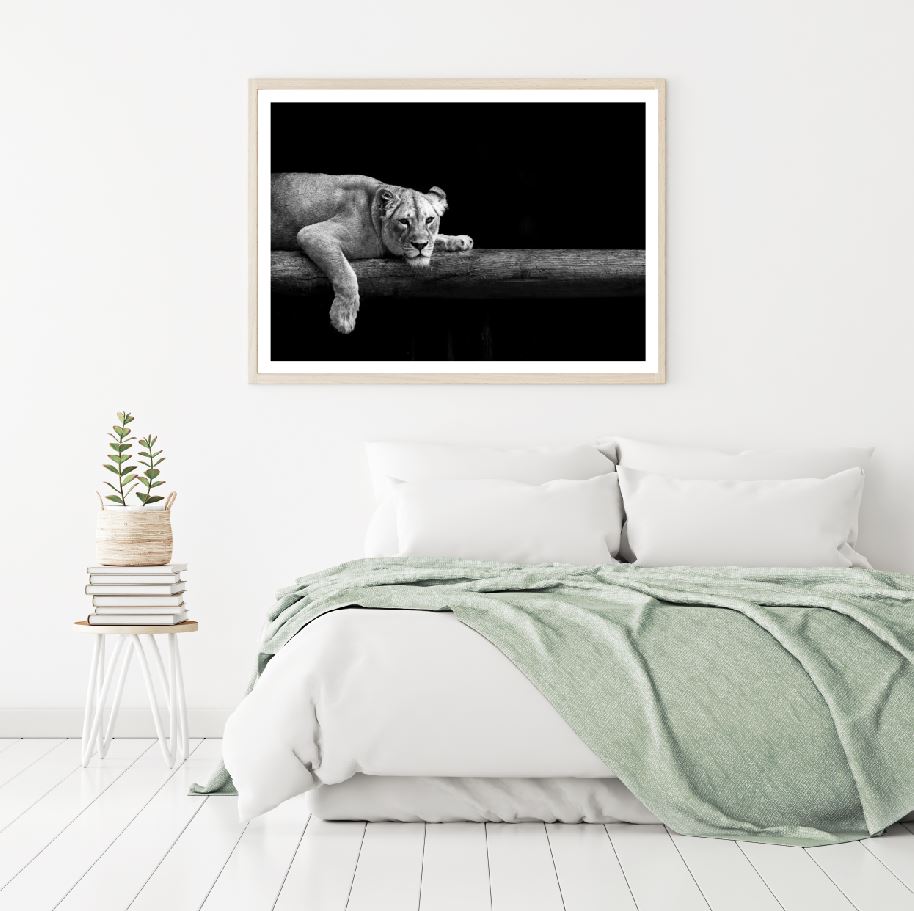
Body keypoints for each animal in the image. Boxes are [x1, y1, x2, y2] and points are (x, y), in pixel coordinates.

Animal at [271, 173, 474, 334]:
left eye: (430, 220)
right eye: (404, 222)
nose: (420, 245)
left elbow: (437, 237)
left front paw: (460, 240)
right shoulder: (311, 233)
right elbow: (345, 274)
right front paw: (343, 318)